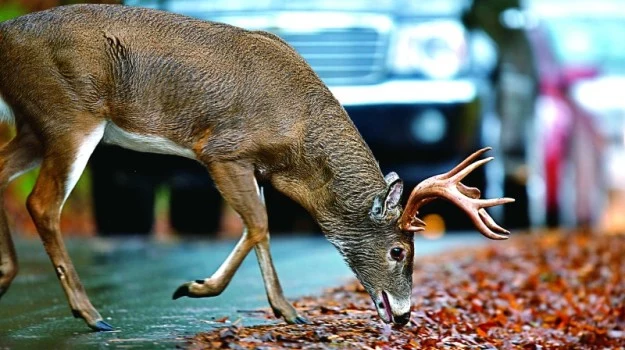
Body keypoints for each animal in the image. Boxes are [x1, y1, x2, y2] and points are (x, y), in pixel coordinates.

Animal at [0, 3, 512, 330]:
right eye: (399, 251)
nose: (405, 316)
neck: (300, 142)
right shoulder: (222, 149)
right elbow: (260, 224)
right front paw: (218, 293)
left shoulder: (255, 167)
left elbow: (254, 227)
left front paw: (263, 303)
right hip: (69, 115)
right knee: (41, 203)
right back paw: (91, 315)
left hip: (33, 125)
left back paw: (7, 277)